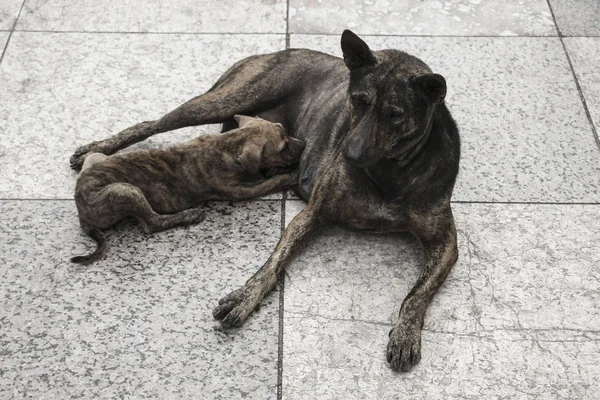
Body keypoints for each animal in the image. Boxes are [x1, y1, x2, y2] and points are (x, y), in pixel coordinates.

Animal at [71, 115, 304, 266]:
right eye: (283, 146)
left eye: (285, 130)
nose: (303, 145)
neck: (228, 143)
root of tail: (81, 210)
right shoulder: (240, 191)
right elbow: (270, 182)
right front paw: (290, 175)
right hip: (126, 191)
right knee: (152, 223)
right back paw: (189, 215)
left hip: (97, 157)